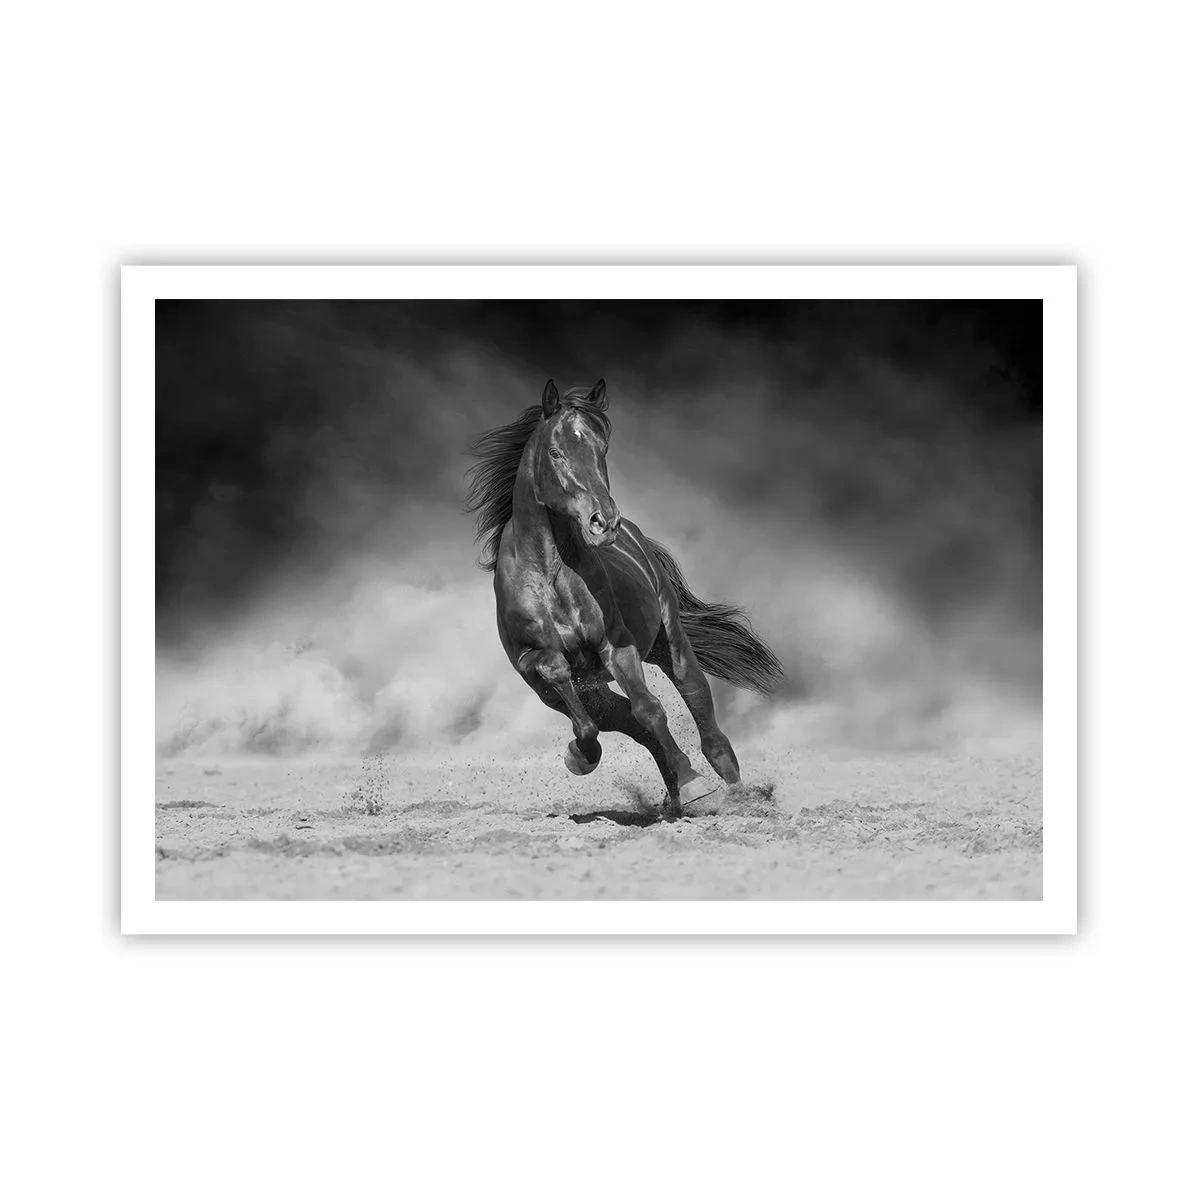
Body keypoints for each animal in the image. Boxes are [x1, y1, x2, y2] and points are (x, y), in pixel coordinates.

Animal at [466, 378, 784, 817]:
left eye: (602, 450)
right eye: (556, 452)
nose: (603, 521)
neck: (550, 574)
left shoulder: (616, 647)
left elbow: (649, 709)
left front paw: (695, 784)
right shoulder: (534, 666)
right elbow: (577, 701)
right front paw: (580, 756)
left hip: (670, 644)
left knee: (699, 710)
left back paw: (734, 794)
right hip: (584, 689)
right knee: (622, 721)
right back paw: (671, 794)